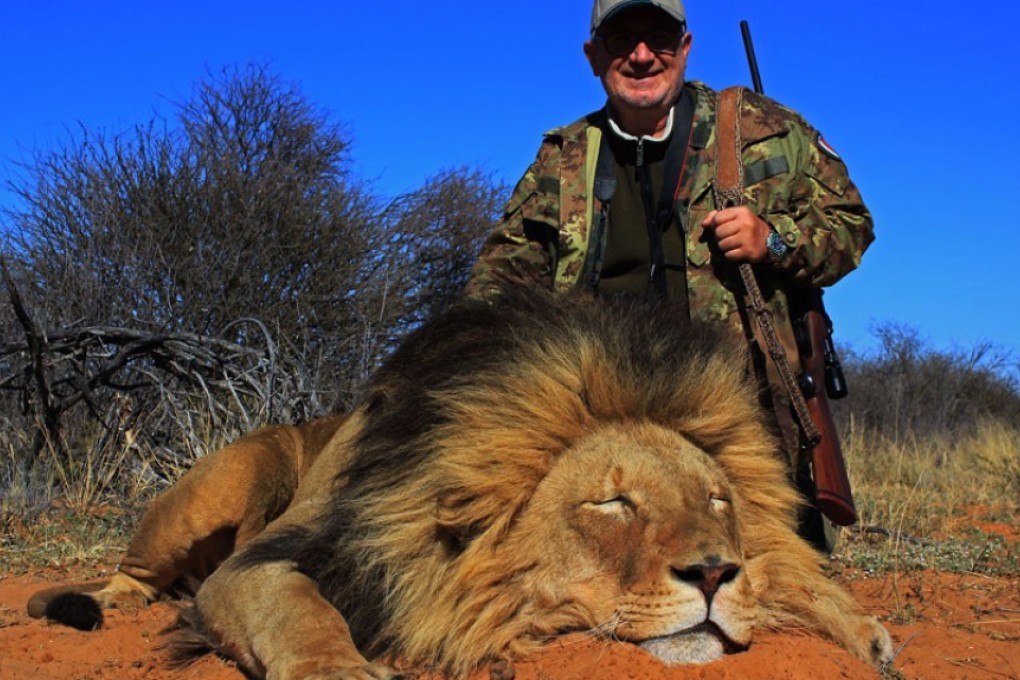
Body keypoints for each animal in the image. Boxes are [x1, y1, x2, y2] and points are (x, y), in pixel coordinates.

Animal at [29, 289, 893, 678]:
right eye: (612, 502)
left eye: (716, 499)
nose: (715, 573)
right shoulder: (267, 564)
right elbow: (301, 610)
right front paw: (342, 670)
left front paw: (866, 633)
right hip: (232, 478)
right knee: (133, 578)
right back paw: (87, 606)